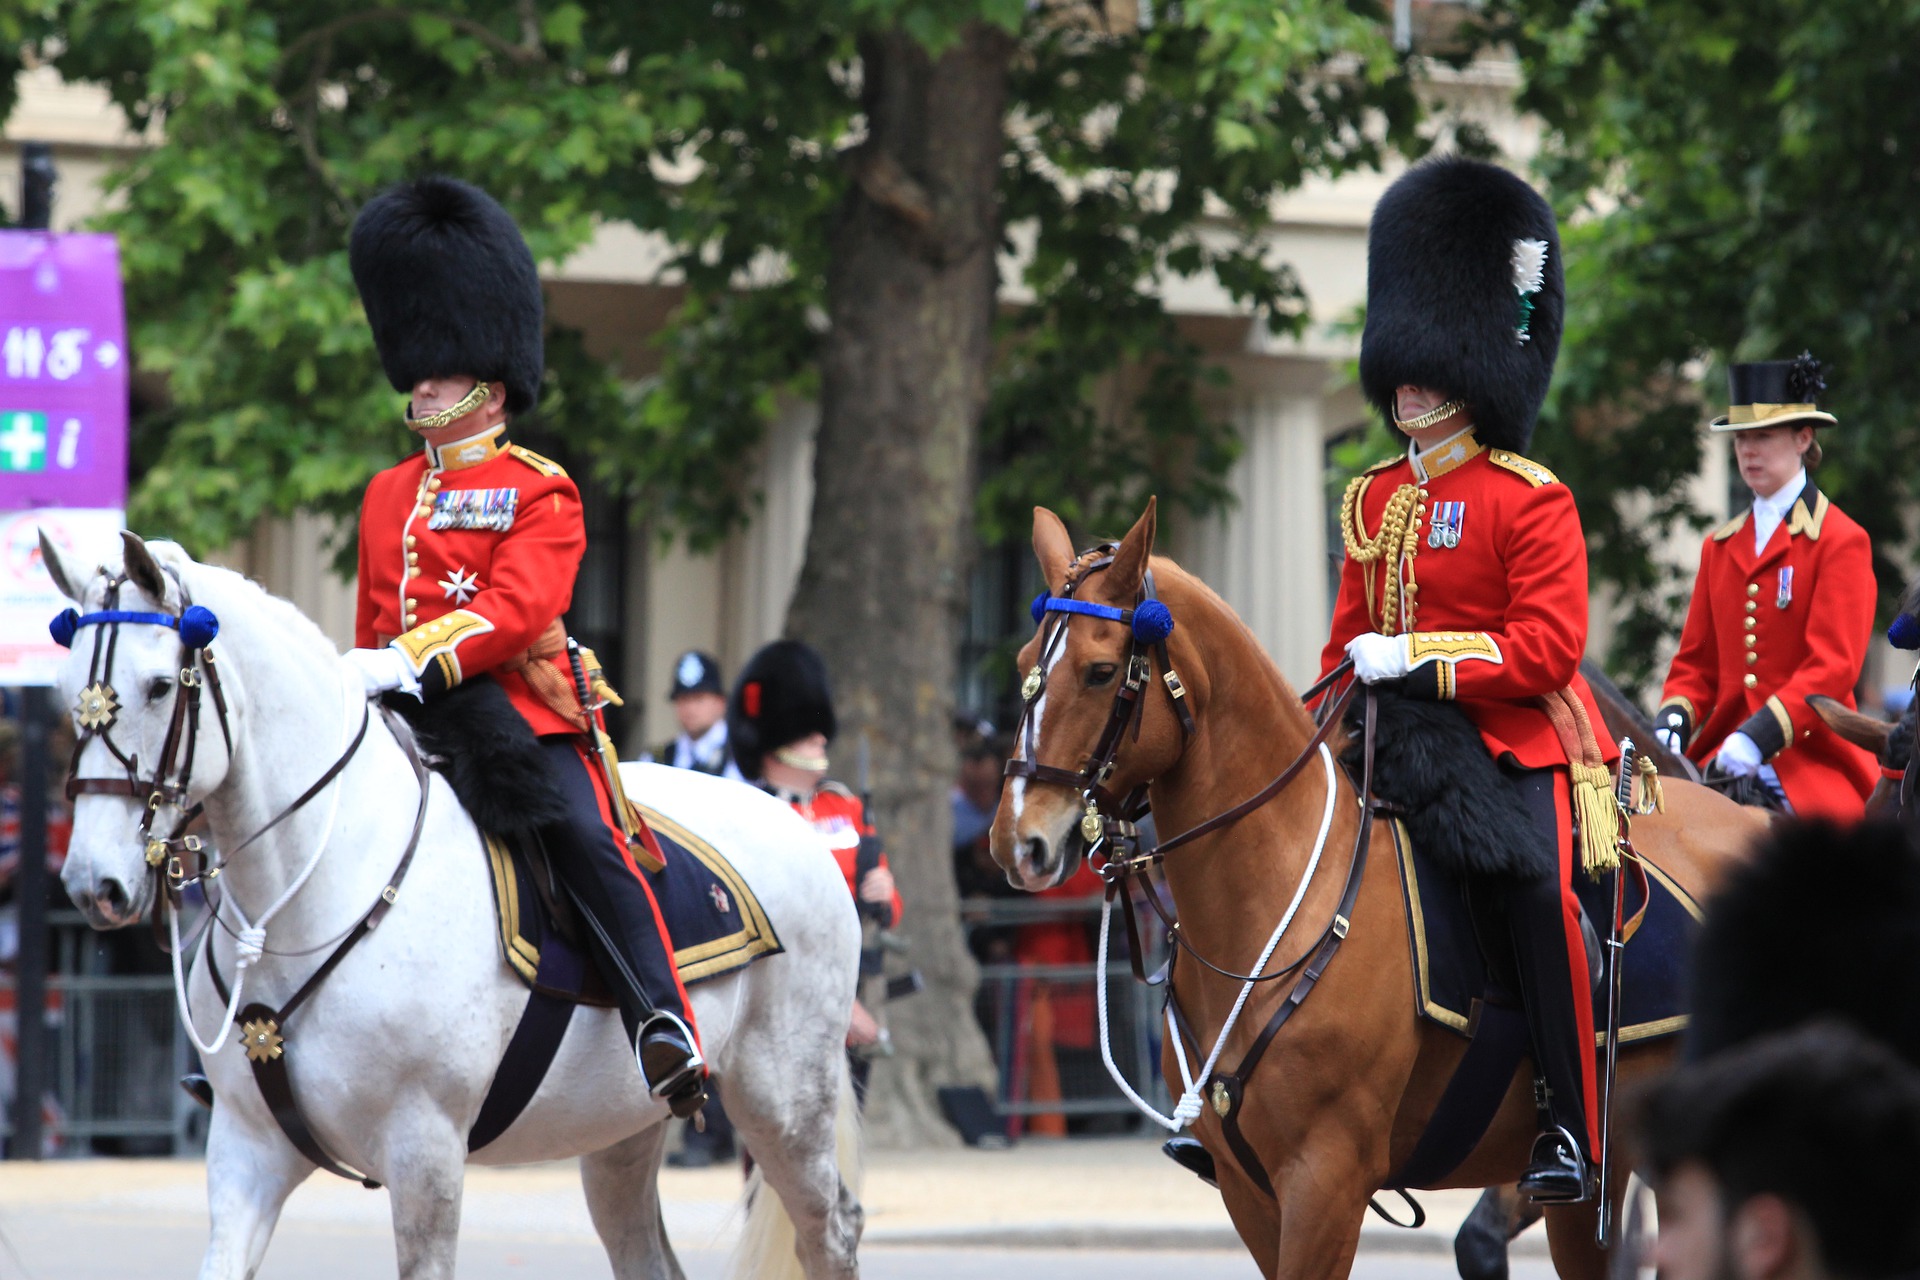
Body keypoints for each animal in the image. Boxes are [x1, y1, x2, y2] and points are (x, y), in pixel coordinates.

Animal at [41, 537, 867, 1280]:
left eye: (158, 686)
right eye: (67, 691)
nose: (92, 884)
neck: (307, 900)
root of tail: (786, 814)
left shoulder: (426, 1154)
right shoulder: (246, 1153)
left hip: (785, 1103)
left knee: (831, 1234)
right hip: (621, 1127)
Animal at [998, 506, 1758, 1280]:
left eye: (1099, 672)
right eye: (1026, 664)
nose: (1017, 842)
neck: (1274, 901)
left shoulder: (1326, 1179)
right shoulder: (1251, 1192)